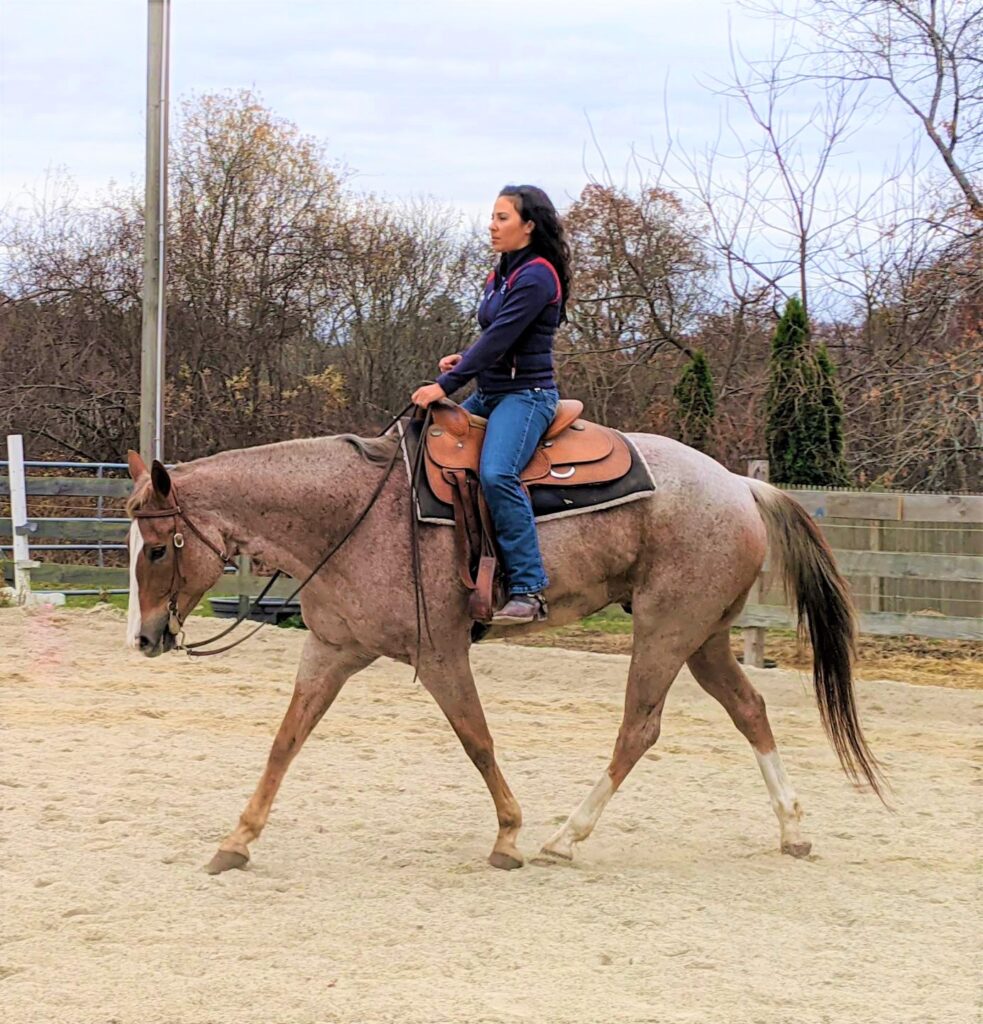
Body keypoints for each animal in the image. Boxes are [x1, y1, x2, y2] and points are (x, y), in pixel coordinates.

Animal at [124, 428, 884, 876]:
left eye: (158, 548)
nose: (144, 638)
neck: (353, 516)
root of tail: (740, 485)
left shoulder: (440, 657)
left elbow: (477, 740)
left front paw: (509, 836)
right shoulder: (332, 650)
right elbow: (285, 742)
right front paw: (236, 841)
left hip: (666, 632)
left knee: (639, 729)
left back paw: (564, 836)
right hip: (704, 638)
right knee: (750, 710)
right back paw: (791, 830)